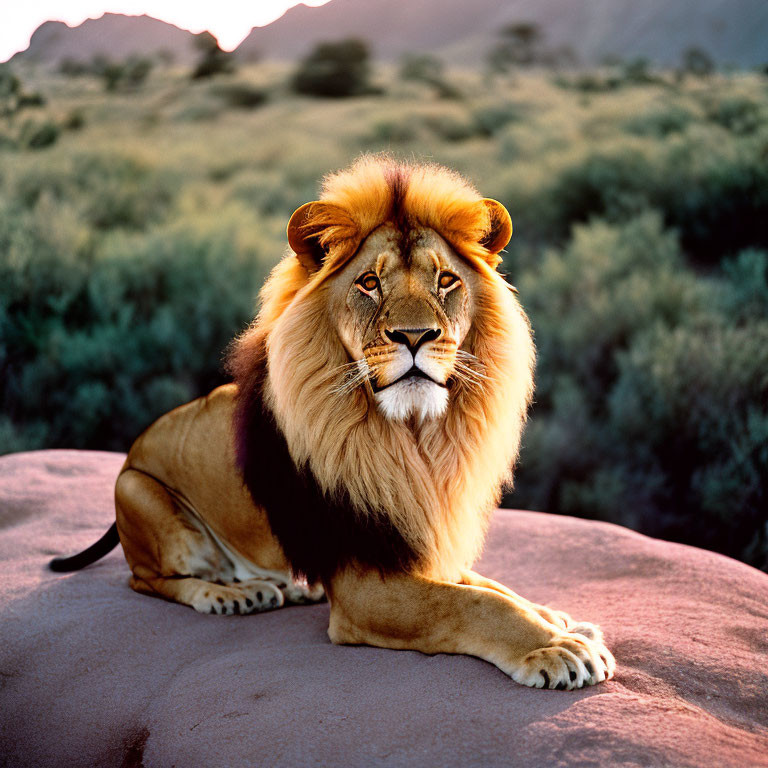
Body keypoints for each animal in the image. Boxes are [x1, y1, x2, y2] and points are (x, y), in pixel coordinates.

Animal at [51, 154, 616, 688]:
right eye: (369, 284)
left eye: (446, 280)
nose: (415, 336)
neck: (414, 436)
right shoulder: (366, 586)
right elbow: (473, 603)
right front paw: (555, 649)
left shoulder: (418, 546)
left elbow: (493, 586)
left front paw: (559, 622)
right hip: (140, 495)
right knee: (148, 581)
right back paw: (229, 595)